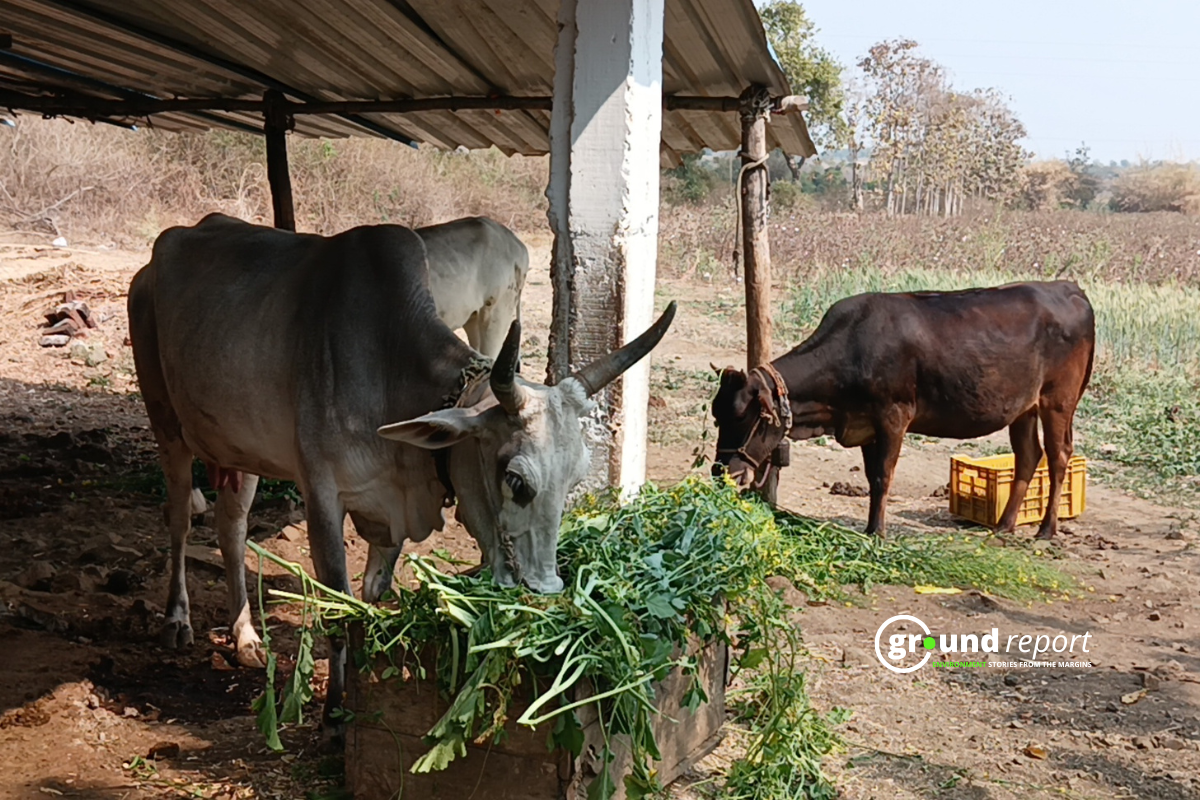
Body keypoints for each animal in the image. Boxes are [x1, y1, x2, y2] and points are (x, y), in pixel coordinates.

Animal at [711, 281, 1094, 540]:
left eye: (743, 415)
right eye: (717, 416)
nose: (722, 473)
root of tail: (1068, 287)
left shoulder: (893, 416)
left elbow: (883, 476)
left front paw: (877, 532)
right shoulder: (864, 424)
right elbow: (870, 477)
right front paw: (870, 527)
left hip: (1058, 401)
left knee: (1059, 456)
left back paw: (1046, 529)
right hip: (1023, 408)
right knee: (1029, 455)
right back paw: (1004, 525)